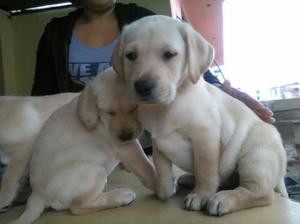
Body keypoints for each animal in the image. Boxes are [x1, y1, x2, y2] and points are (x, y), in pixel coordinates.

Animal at [9, 68, 155, 224]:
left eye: (134, 108)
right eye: (109, 112)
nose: (125, 136)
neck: (99, 118)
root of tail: (37, 195)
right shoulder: (127, 148)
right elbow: (145, 166)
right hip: (95, 170)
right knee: (78, 206)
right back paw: (120, 196)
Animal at [111, 15, 288, 215]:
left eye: (169, 54)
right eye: (131, 56)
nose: (142, 86)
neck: (167, 106)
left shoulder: (205, 138)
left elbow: (205, 171)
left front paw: (201, 195)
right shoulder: (158, 141)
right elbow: (161, 167)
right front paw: (163, 189)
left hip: (255, 157)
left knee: (261, 193)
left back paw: (223, 199)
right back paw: (189, 179)